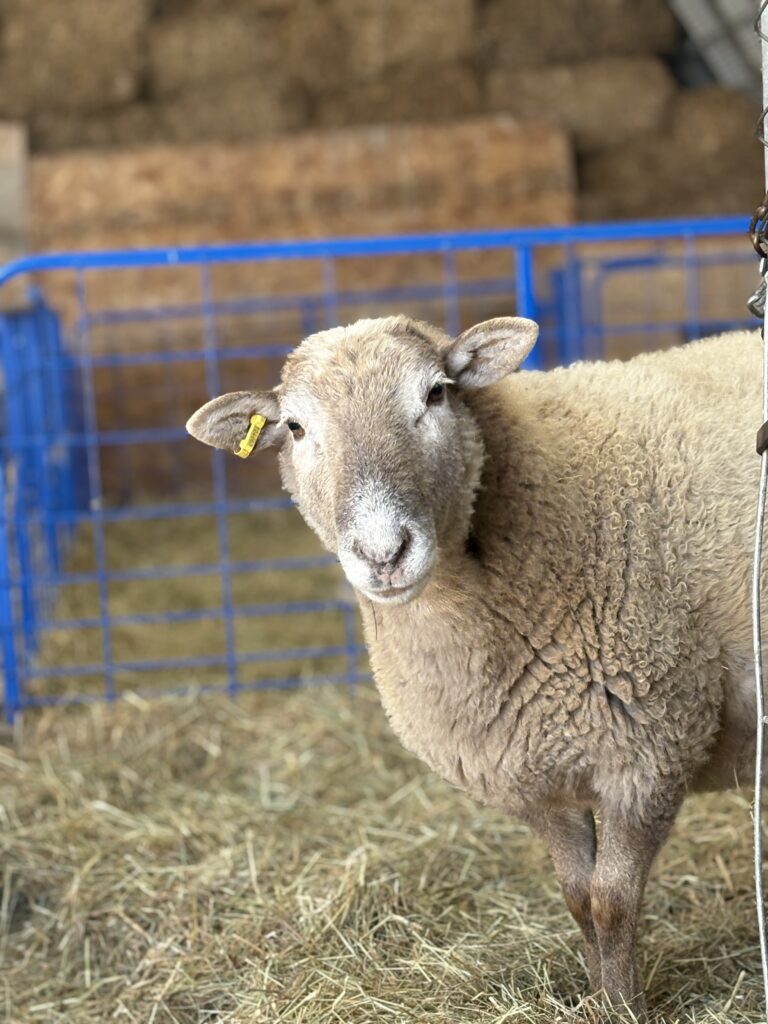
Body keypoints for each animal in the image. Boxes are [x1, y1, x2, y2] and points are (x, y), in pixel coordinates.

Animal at [186, 315, 762, 1018]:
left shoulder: (652, 747)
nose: (384, 553)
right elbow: (579, 901)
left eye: (436, 393)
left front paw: (624, 1009)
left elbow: (612, 902)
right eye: (295, 427)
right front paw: (598, 1000)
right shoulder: (532, 770)